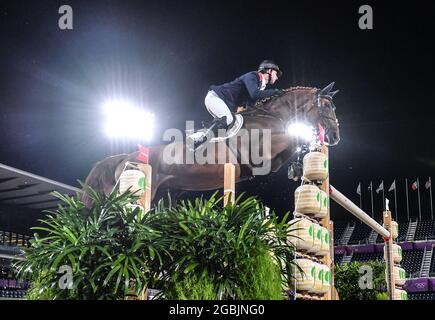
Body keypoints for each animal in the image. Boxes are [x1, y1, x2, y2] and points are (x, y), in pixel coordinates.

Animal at [81, 83, 340, 208]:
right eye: (327, 106)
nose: (335, 136)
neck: (270, 117)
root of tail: (123, 157)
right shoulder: (261, 154)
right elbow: (291, 137)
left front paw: (299, 166)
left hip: (164, 193)